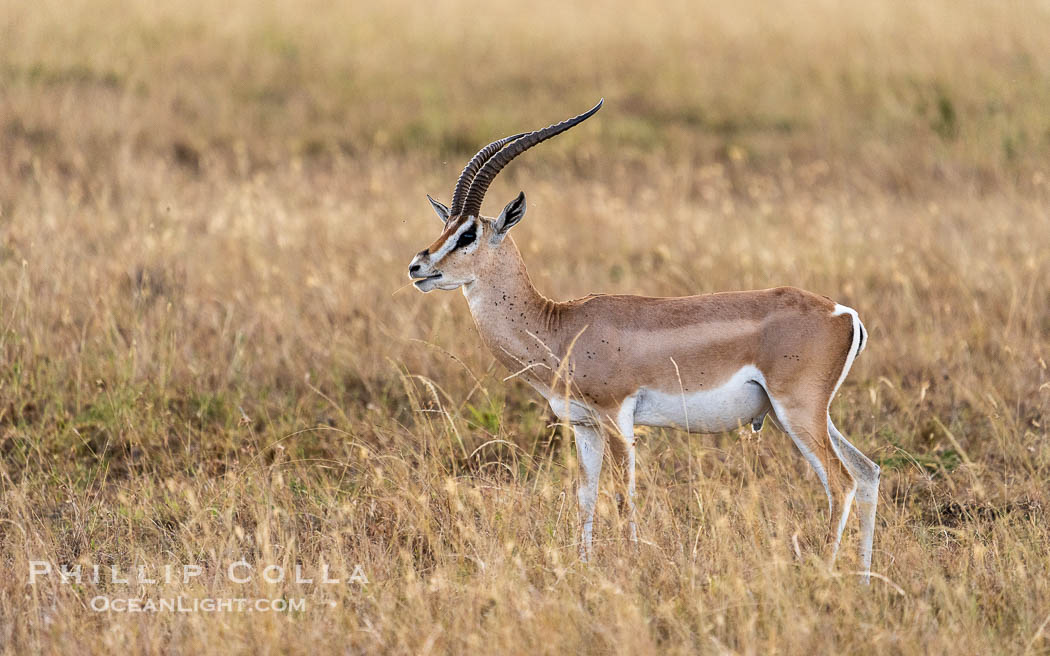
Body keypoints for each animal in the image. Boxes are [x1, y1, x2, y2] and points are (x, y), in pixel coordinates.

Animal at [407, 99, 880, 581]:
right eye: (446, 226)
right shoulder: (584, 425)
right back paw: (862, 579)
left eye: (468, 234)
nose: (417, 267)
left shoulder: (618, 417)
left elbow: (623, 496)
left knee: (841, 482)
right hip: (807, 416)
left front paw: (629, 566)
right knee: (867, 473)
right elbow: (586, 497)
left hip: (798, 412)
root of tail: (843, 313)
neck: (559, 326)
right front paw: (585, 567)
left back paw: (826, 573)